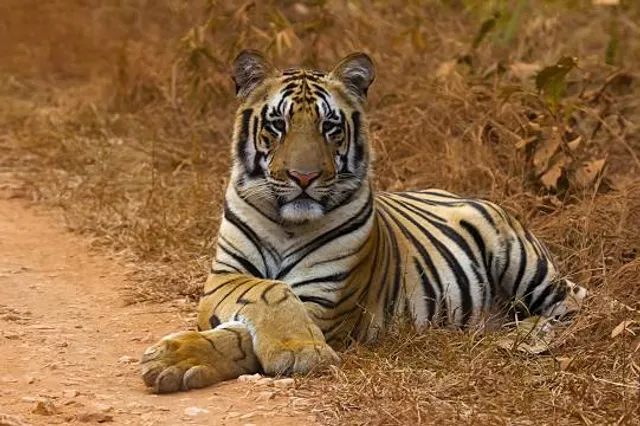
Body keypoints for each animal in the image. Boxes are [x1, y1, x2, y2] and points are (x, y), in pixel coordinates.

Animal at [140, 50, 587, 393]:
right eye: (278, 125)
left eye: (330, 127)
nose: (304, 177)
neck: (289, 224)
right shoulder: (222, 278)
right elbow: (265, 292)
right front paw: (176, 358)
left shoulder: (324, 301)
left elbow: (253, 322)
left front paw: (298, 352)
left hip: (521, 261)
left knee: (574, 304)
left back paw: (523, 337)